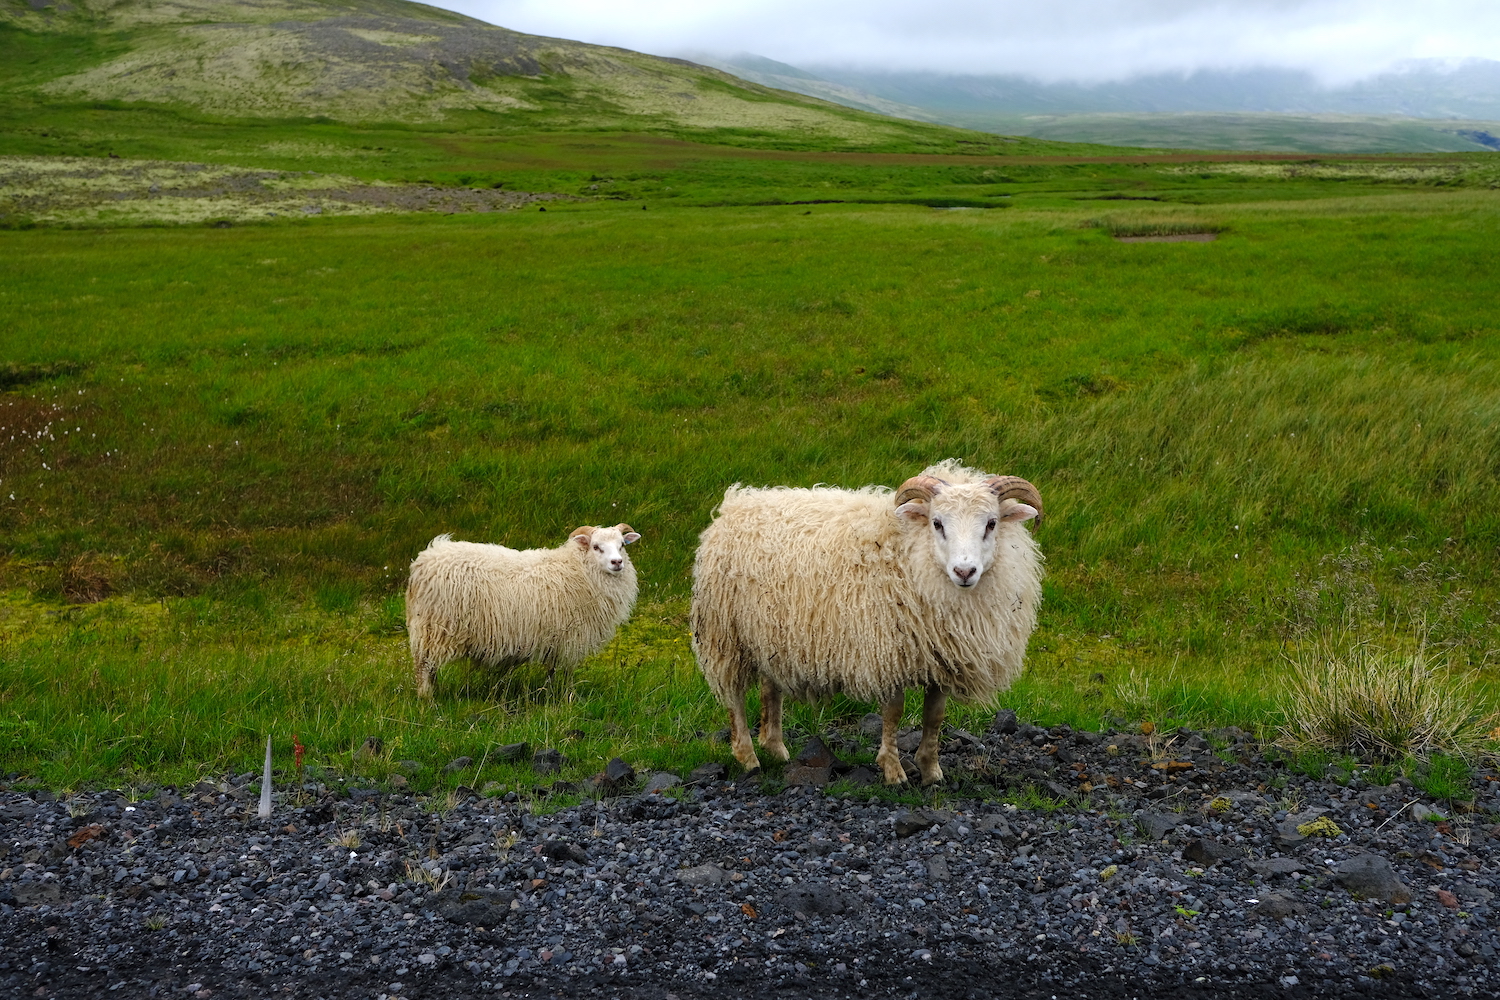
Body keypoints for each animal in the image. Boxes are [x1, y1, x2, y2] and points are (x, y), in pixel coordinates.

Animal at [408, 524, 642, 695]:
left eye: (622, 545)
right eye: (596, 547)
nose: (617, 562)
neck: (577, 568)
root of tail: (425, 560)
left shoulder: (556, 639)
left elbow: (552, 671)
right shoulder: (570, 639)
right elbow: (567, 673)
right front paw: (567, 697)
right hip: (434, 629)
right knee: (425, 668)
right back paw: (427, 699)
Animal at [690, 458, 1044, 779]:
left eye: (992, 523)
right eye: (937, 523)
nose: (964, 571)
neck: (910, 553)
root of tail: (737, 503)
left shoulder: (942, 657)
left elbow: (934, 716)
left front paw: (931, 771)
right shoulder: (888, 653)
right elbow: (893, 714)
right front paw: (893, 771)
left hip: (769, 634)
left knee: (769, 687)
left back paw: (775, 747)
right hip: (726, 634)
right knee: (734, 697)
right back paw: (748, 757)